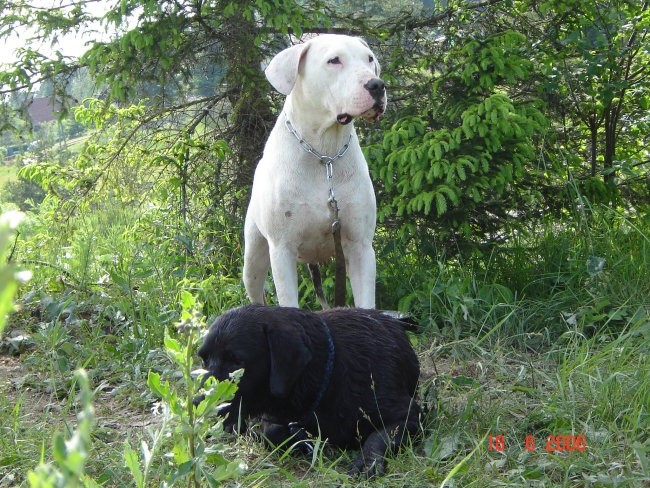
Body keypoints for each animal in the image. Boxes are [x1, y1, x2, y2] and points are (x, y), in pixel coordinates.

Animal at [197, 304, 420, 476]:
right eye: (203, 358)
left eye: (237, 362)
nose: (197, 404)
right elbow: (273, 431)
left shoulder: (410, 415)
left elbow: (378, 437)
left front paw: (367, 462)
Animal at [243, 35, 384, 308]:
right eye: (334, 60)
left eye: (369, 59)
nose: (377, 85)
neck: (324, 154)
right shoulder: (282, 250)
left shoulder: (360, 247)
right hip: (253, 260)